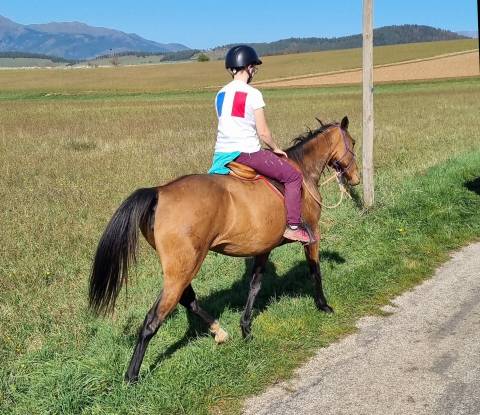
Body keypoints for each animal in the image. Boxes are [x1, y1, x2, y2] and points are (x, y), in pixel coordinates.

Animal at [89, 115, 360, 382]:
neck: (302, 171)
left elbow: (254, 285)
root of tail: (160, 192)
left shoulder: (263, 247)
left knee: (188, 300)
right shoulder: (313, 236)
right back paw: (132, 376)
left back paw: (219, 331)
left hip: (182, 267)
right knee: (152, 319)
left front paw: (246, 328)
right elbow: (315, 271)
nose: (355, 179)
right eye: (353, 142)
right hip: (183, 268)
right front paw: (324, 305)